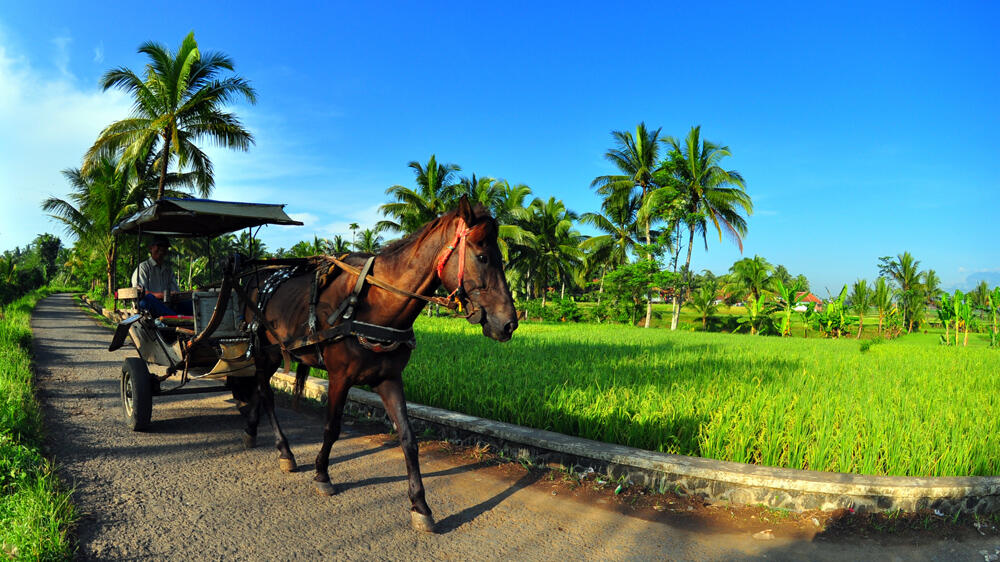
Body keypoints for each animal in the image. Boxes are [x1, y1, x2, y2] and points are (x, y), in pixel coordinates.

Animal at [233, 196, 516, 528]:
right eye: (483, 257)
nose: (509, 324)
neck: (374, 306)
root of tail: (261, 277)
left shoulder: (389, 378)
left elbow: (408, 437)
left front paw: (420, 504)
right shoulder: (339, 377)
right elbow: (332, 427)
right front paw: (322, 474)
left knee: (259, 389)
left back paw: (252, 431)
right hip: (267, 350)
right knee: (265, 393)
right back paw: (284, 451)